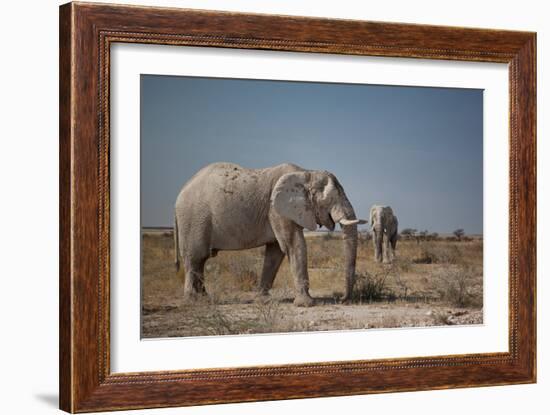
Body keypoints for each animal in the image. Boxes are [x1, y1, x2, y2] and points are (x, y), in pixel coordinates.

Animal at [175, 162, 368, 306]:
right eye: (330, 200)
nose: (342, 299)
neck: (306, 173)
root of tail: (181, 190)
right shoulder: (276, 209)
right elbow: (293, 245)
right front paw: (306, 304)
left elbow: (276, 252)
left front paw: (263, 301)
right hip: (193, 219)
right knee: (195, 258)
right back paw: (194, 302)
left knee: (200, 261)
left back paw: (204, 298)